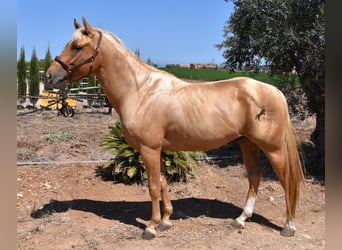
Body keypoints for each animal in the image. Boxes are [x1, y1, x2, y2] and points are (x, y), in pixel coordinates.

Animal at [45, 17, 304, 240]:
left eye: (77, 46)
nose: (49, 76)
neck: (141, 91)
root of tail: (274, 91)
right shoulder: (157, 150)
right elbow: (162, 182)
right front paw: (165, 221)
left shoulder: (149, 149)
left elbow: (152, 186)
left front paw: (150, 227)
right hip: (247, 144)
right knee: (254, 177)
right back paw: (240, 220)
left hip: (272, 149)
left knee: (286, 180)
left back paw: (288, 226)